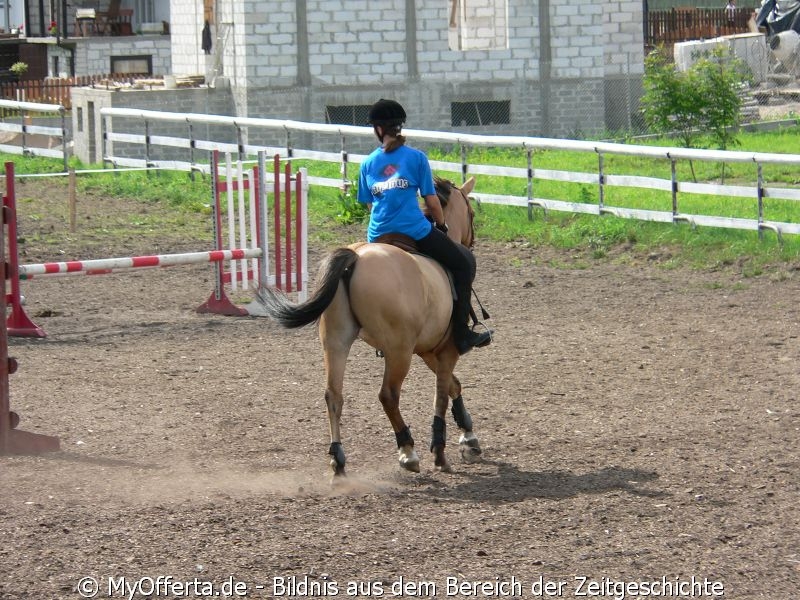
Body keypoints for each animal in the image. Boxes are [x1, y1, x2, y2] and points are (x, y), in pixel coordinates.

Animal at [260, 175, 488, 478]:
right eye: (471, 213)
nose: (471, 241)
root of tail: (355, 257)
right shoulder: (445, 350)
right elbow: (442, 394)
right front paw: (441, 451)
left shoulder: (429, 351)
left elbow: (453, 386)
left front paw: (468, 436)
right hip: (398, 352)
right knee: (388, 396)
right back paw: (407, 451)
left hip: (336, 341)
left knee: (333, 395)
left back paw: (338, 460)